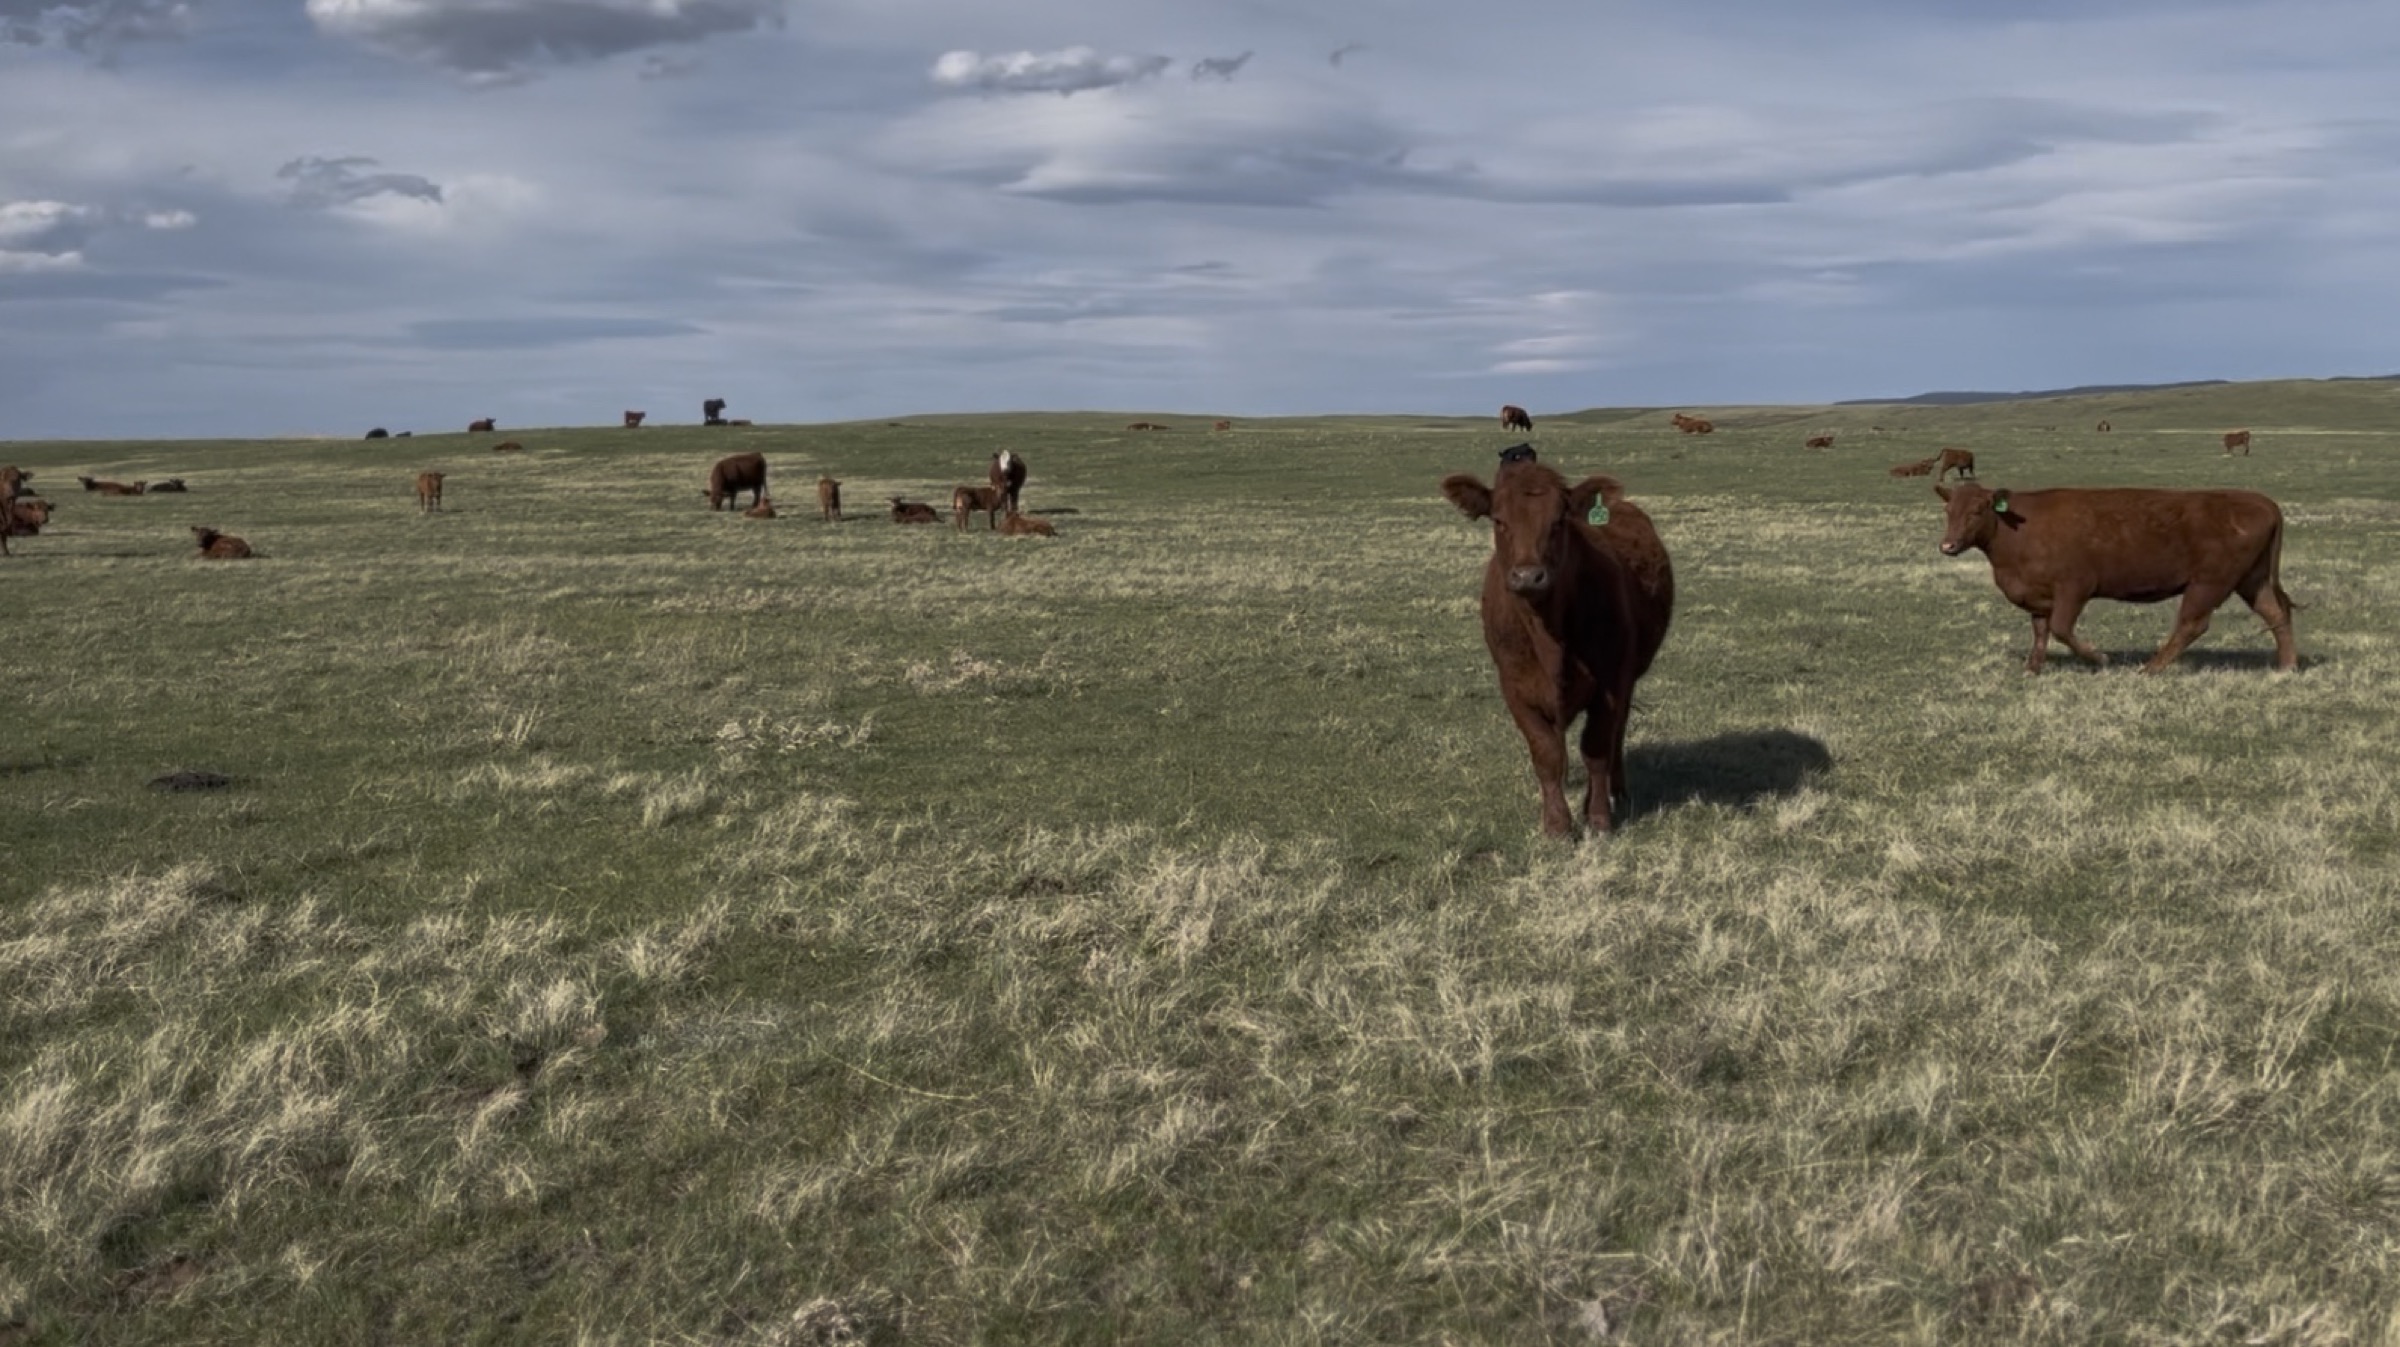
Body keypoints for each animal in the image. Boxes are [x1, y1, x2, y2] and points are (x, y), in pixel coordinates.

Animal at [1440, 452, 1675, 838]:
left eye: (1558, 521)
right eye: (1499, 520)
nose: (1528, 576)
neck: (1547, 634)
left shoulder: (1610, 685)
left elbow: (1596, 748)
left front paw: (1597, 818)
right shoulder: (1515, 689)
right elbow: (1546, 752)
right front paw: (1557, 824)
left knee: (1617, 735)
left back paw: (1617, 791)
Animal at [1934, 482, 2298, 675]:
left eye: (1977, 510)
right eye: (1948, 510)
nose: (1947, 545)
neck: (2018, 529)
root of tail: (2260, 500)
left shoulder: (2074, 587)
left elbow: (2061, 628)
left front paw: (2100, 658)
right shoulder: (2036, 594)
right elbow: (2040, 631)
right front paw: (2032, 668)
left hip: (2209, 583)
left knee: (2192, 624)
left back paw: (2150, 668)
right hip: (2251, 580)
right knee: (2276, 614)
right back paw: (2286, 667)